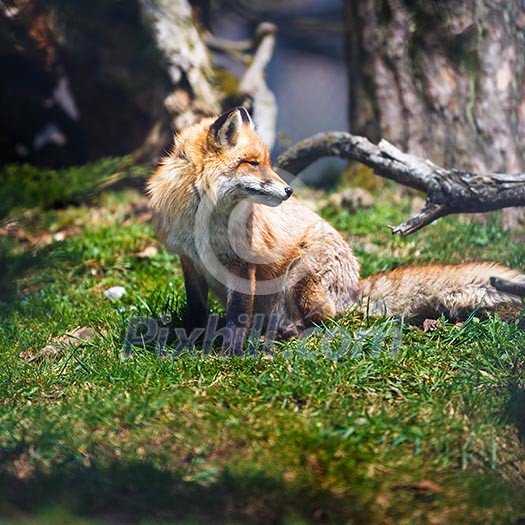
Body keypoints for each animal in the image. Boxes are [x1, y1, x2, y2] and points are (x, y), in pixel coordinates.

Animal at [147, 106, 524, 352]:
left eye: (266, 162)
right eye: (253, 164)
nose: (289, 190)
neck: (202, 223)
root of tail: (354, 285)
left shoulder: (243, 263)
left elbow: (239, 314)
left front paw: (231, 351)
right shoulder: (189, 260)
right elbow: (197, 307)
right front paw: (188, 340)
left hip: (299, 280)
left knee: (323, 320)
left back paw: (283, 334)